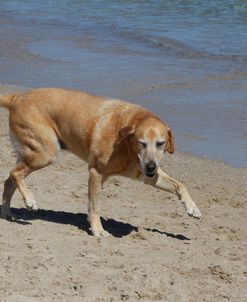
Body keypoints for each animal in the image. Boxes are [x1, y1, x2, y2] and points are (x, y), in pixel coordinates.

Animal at [0, 87, 201, 236]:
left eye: (161, 143)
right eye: (141, 143)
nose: (151, 166)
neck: (127, 144)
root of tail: (17, 97)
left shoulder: (148, 176)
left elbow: (179, 184)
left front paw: (192, 208)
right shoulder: (96, 173)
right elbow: (95, 205)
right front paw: (97, 230)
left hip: (31, 154)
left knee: (9, 180)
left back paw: (7, 213)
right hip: (45, 152)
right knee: (14, 173)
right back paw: (29, 200)